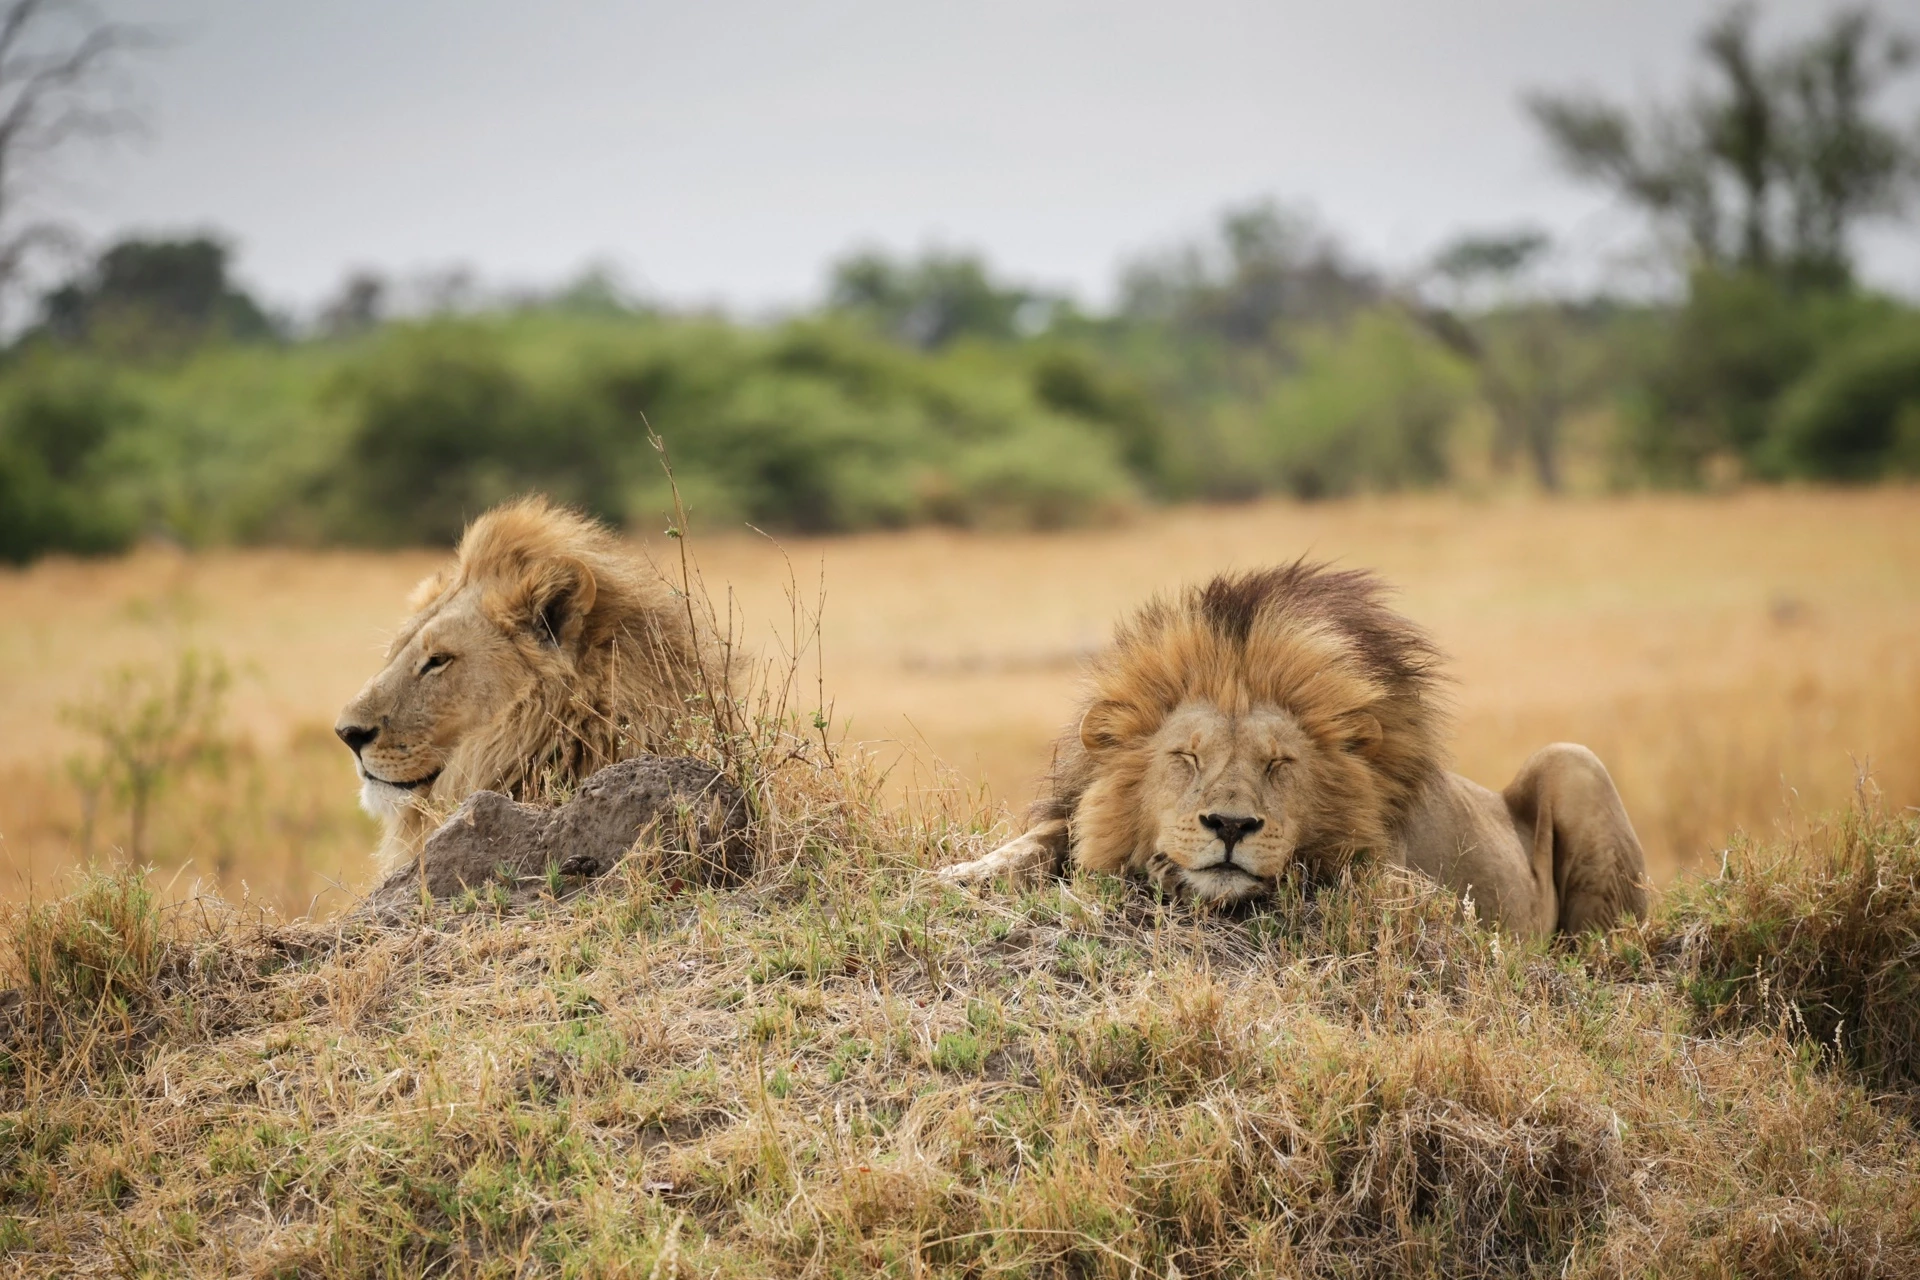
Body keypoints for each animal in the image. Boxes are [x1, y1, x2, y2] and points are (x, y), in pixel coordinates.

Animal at [936, 564, 1643, 940]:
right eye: (1186, 758)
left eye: (1280, 764)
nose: (1229, 826)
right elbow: (1043, 838)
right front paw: (965, 873)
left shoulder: (1400, 881)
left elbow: (1321, 872)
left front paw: (1168, 871)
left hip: (1574, 762)